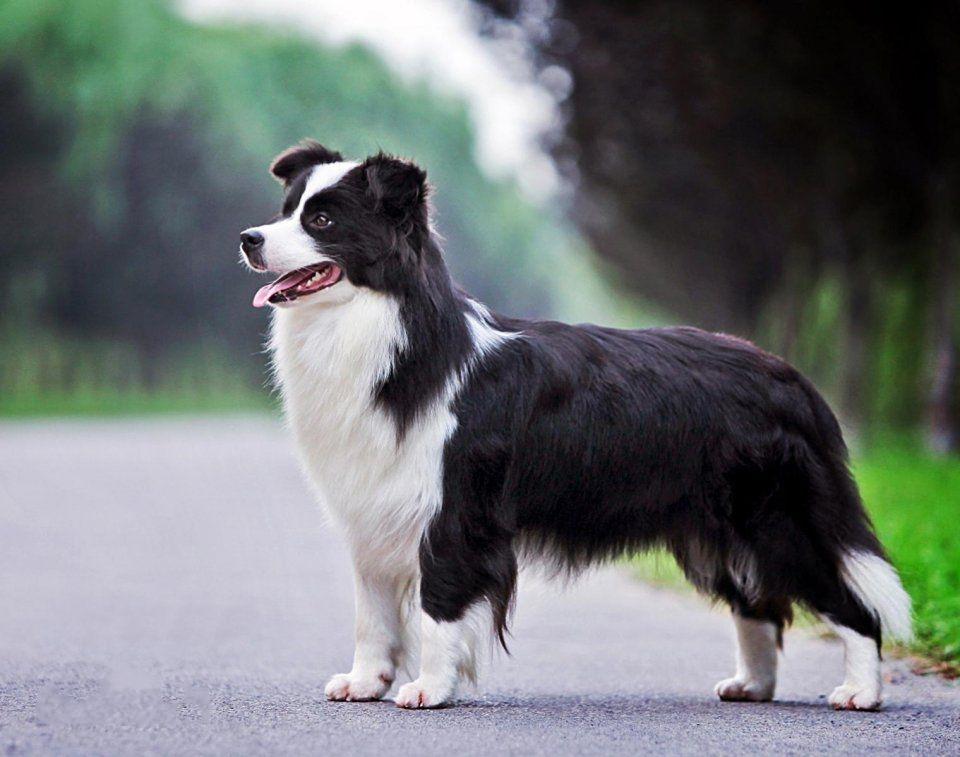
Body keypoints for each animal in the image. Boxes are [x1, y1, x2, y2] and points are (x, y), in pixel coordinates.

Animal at [238, 140, 908, 708]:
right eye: (286, 210)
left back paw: (861, 692)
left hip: (776, 516)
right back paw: (752, 686)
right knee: (758, 604)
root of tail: (793, 379)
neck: (385, 327)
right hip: (718, 528)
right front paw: (365, 682)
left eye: (322, 221)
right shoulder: (374, 505)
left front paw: (429, 688)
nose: (248, 238)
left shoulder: (455, 509)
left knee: (850, 603)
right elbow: (371, 612)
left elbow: (439, 606)